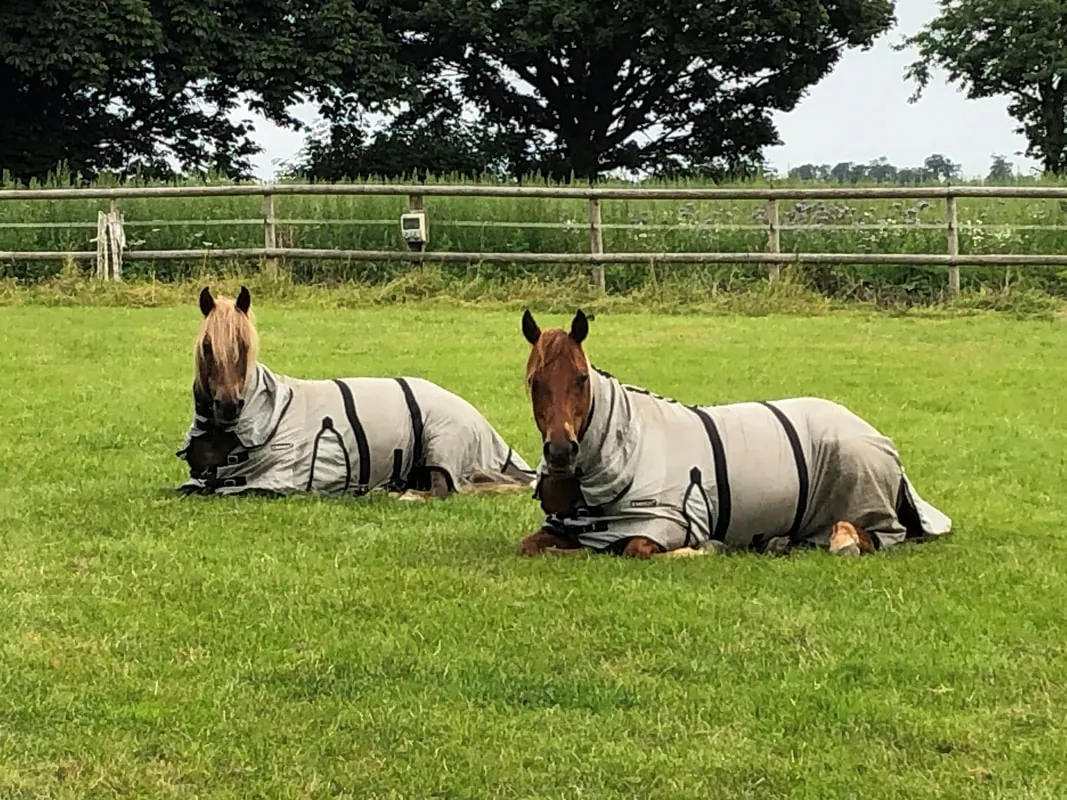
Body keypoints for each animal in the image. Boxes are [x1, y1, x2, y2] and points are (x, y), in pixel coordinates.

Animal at [517, 309, 952, 559]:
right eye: (534, 381)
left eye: (581, 378)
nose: (560, 451)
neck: (623, 444)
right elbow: (532, 547)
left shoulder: (665, 525)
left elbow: (634, 550)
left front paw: (705, 549)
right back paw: (780, 542)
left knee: (878, 536)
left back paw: (842, 541)